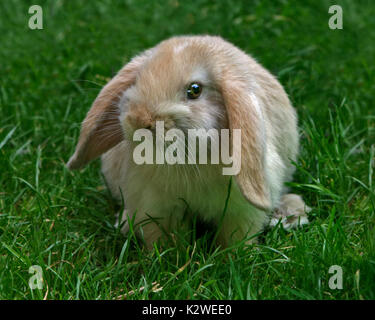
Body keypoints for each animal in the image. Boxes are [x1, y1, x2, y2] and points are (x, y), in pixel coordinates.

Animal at [67, 35, 312, 250]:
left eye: (194, 90)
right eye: (137, 80)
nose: (139, 120)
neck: (188, 158)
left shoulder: (240, 211)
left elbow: (236, 239)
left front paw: (237, 257)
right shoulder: (157, 207)